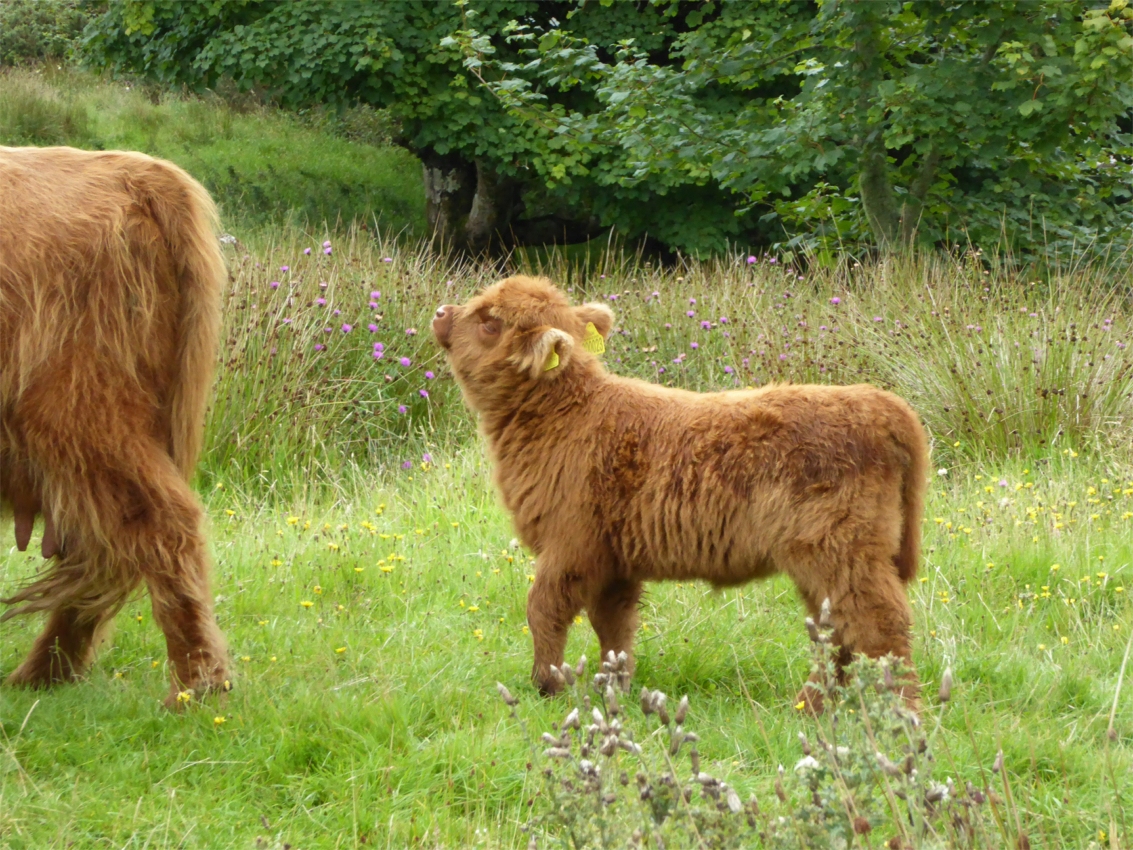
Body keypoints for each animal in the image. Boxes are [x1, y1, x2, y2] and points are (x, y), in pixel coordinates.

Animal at [0, 146, 229, 707]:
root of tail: (138, 171)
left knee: (160, 525)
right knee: (102, 547)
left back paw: (195, 686)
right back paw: (43, 675)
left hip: (80, 412)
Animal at [432, 276, 929, 707]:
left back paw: (901, 713)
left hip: (843, 550)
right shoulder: (613, 559)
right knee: (836, 630)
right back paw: (814, 706)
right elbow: (613, 626)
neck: (565, 414)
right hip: (823, 560)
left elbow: (543, 608)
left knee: (877, 623)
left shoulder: (570, 544)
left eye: (490, 321)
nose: (440, 312)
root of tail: (879, 401)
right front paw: (614, 689)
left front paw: (547, 686)